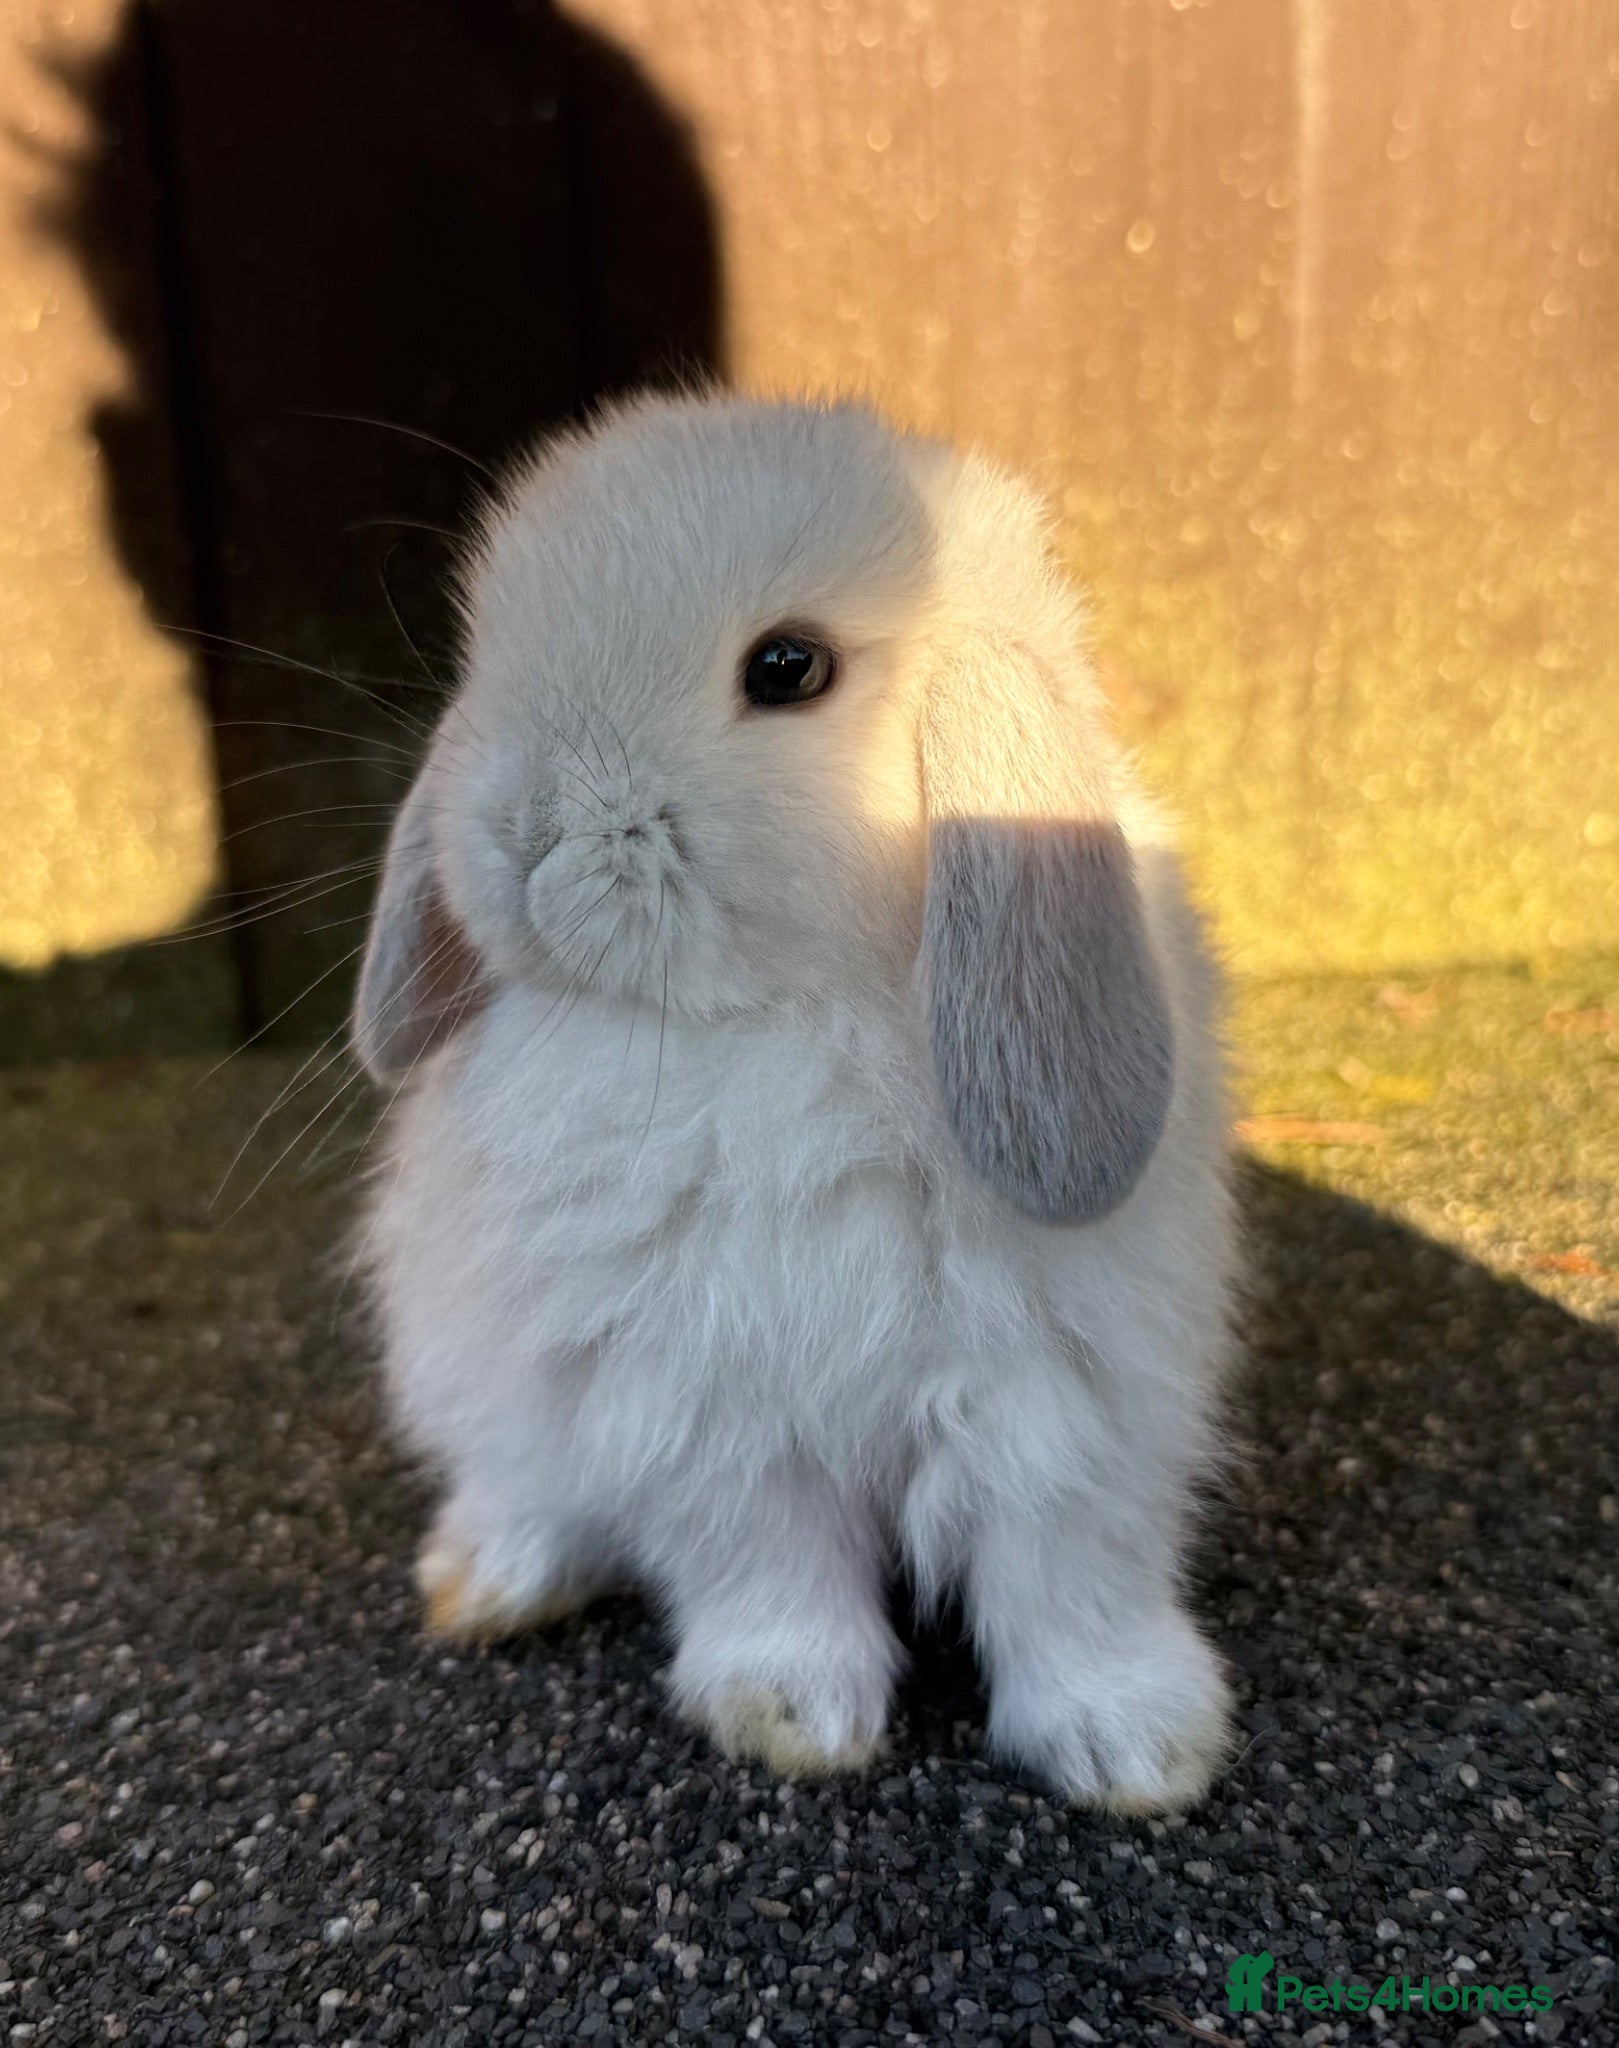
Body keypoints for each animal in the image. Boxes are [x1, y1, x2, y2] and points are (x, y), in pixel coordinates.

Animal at [352, 390, 1240, 1813]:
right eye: (485, 654)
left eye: (786, 668)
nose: (525, 829)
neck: (772, 1021)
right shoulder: (709, 1408)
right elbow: (768, 1568)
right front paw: (791, 1717)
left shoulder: (1068, 1402)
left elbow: (1071, 1581)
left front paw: (1136, 1748)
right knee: (526, 1475)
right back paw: (486, 1580)